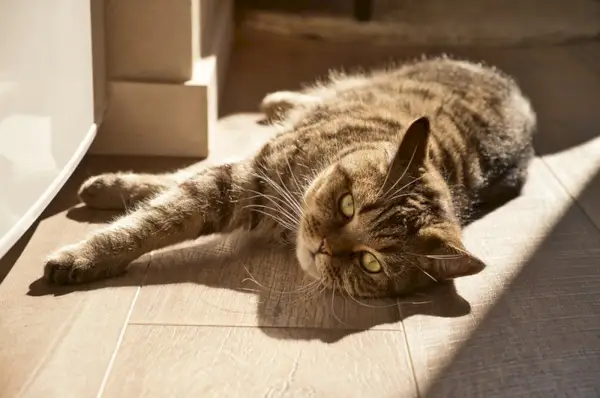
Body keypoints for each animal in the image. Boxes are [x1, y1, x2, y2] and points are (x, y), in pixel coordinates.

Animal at [44, 56, 536, 298]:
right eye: (346, 204)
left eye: (371, 263)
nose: (324, 247)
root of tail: (521, 96)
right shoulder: (242, 177)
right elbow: (153, 219)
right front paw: (96, 230)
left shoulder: (237, 183)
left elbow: (166, 203)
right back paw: (277, 99)